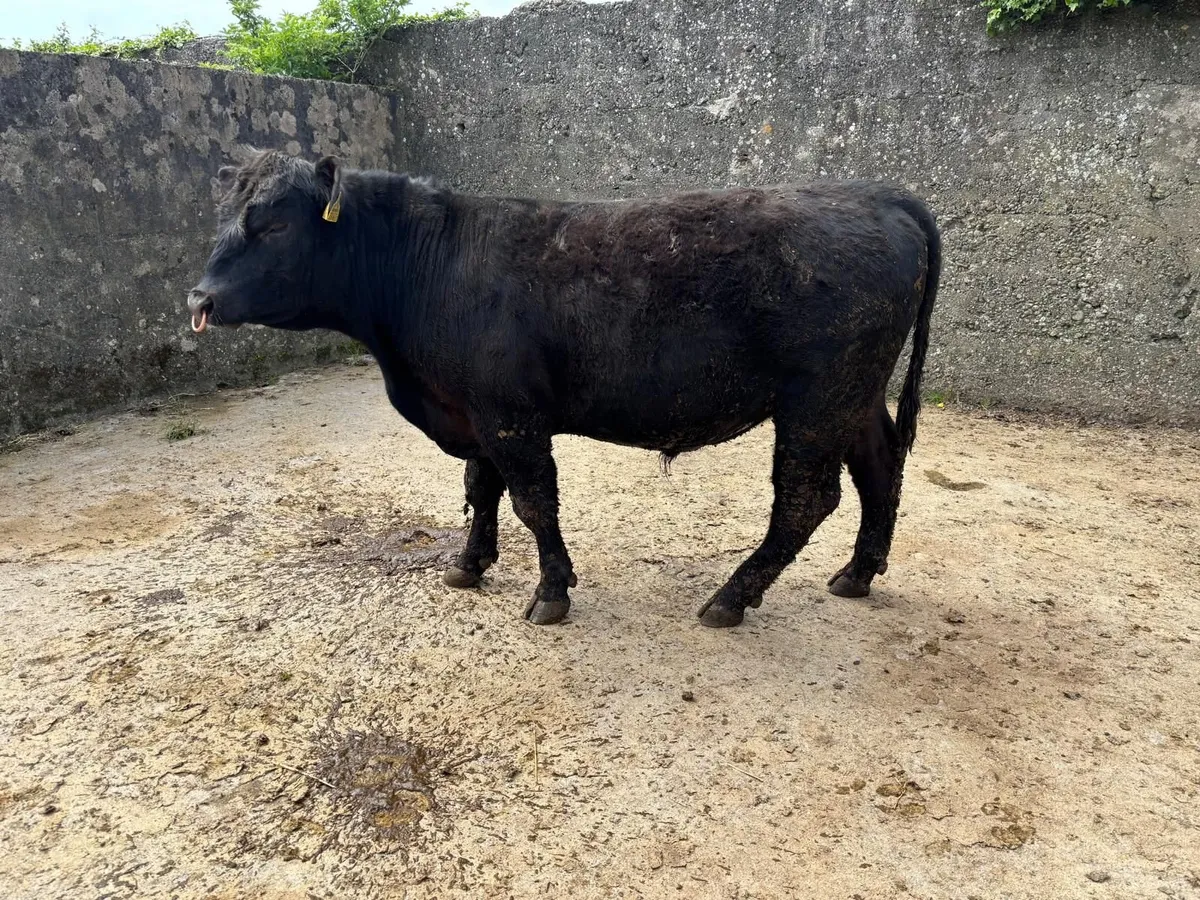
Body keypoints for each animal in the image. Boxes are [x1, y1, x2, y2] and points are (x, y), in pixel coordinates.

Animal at [188, 151, 941, 629]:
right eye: (222, 216)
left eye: (274, 223)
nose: (199, 298)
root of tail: (874, 192)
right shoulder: (475, 412)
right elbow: (481, 489)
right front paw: (468, 565)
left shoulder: (510, 416)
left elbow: (532, 501)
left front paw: (551, 592)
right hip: (854, 398)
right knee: (880, 470)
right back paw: (857, 574)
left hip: (818, 401)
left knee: (806, 500)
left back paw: (730, 598)